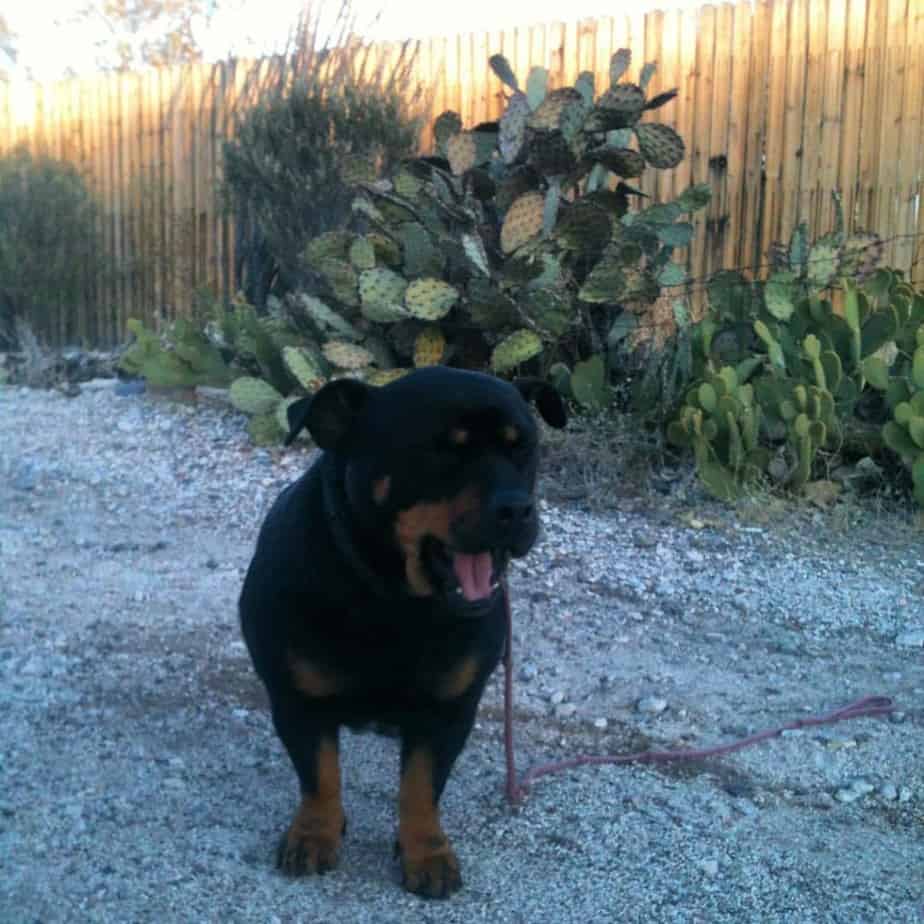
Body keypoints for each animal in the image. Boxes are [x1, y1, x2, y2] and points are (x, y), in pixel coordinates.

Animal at [240, 366, 564, 896]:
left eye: (524, 449)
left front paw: (425, 851)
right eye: (440, 453)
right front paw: (315, 832)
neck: (394, 600)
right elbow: (319, 776)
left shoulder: (447, 712)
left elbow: (420, 786)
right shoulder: (297, 701)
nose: (517, 509)